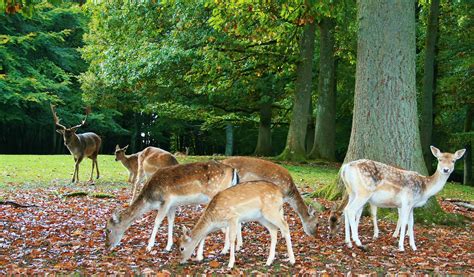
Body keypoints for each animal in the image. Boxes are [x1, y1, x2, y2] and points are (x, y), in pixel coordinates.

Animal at [103, 160, 237, 252]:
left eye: (108, 229)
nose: (107, 246)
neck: (150, 199)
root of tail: (233, 170)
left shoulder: (165, 201)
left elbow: (157, 221)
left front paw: (149, 246)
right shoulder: (172, 205)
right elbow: (171, 221)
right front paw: (168, 246)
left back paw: (225, 249)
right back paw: (236, 247)